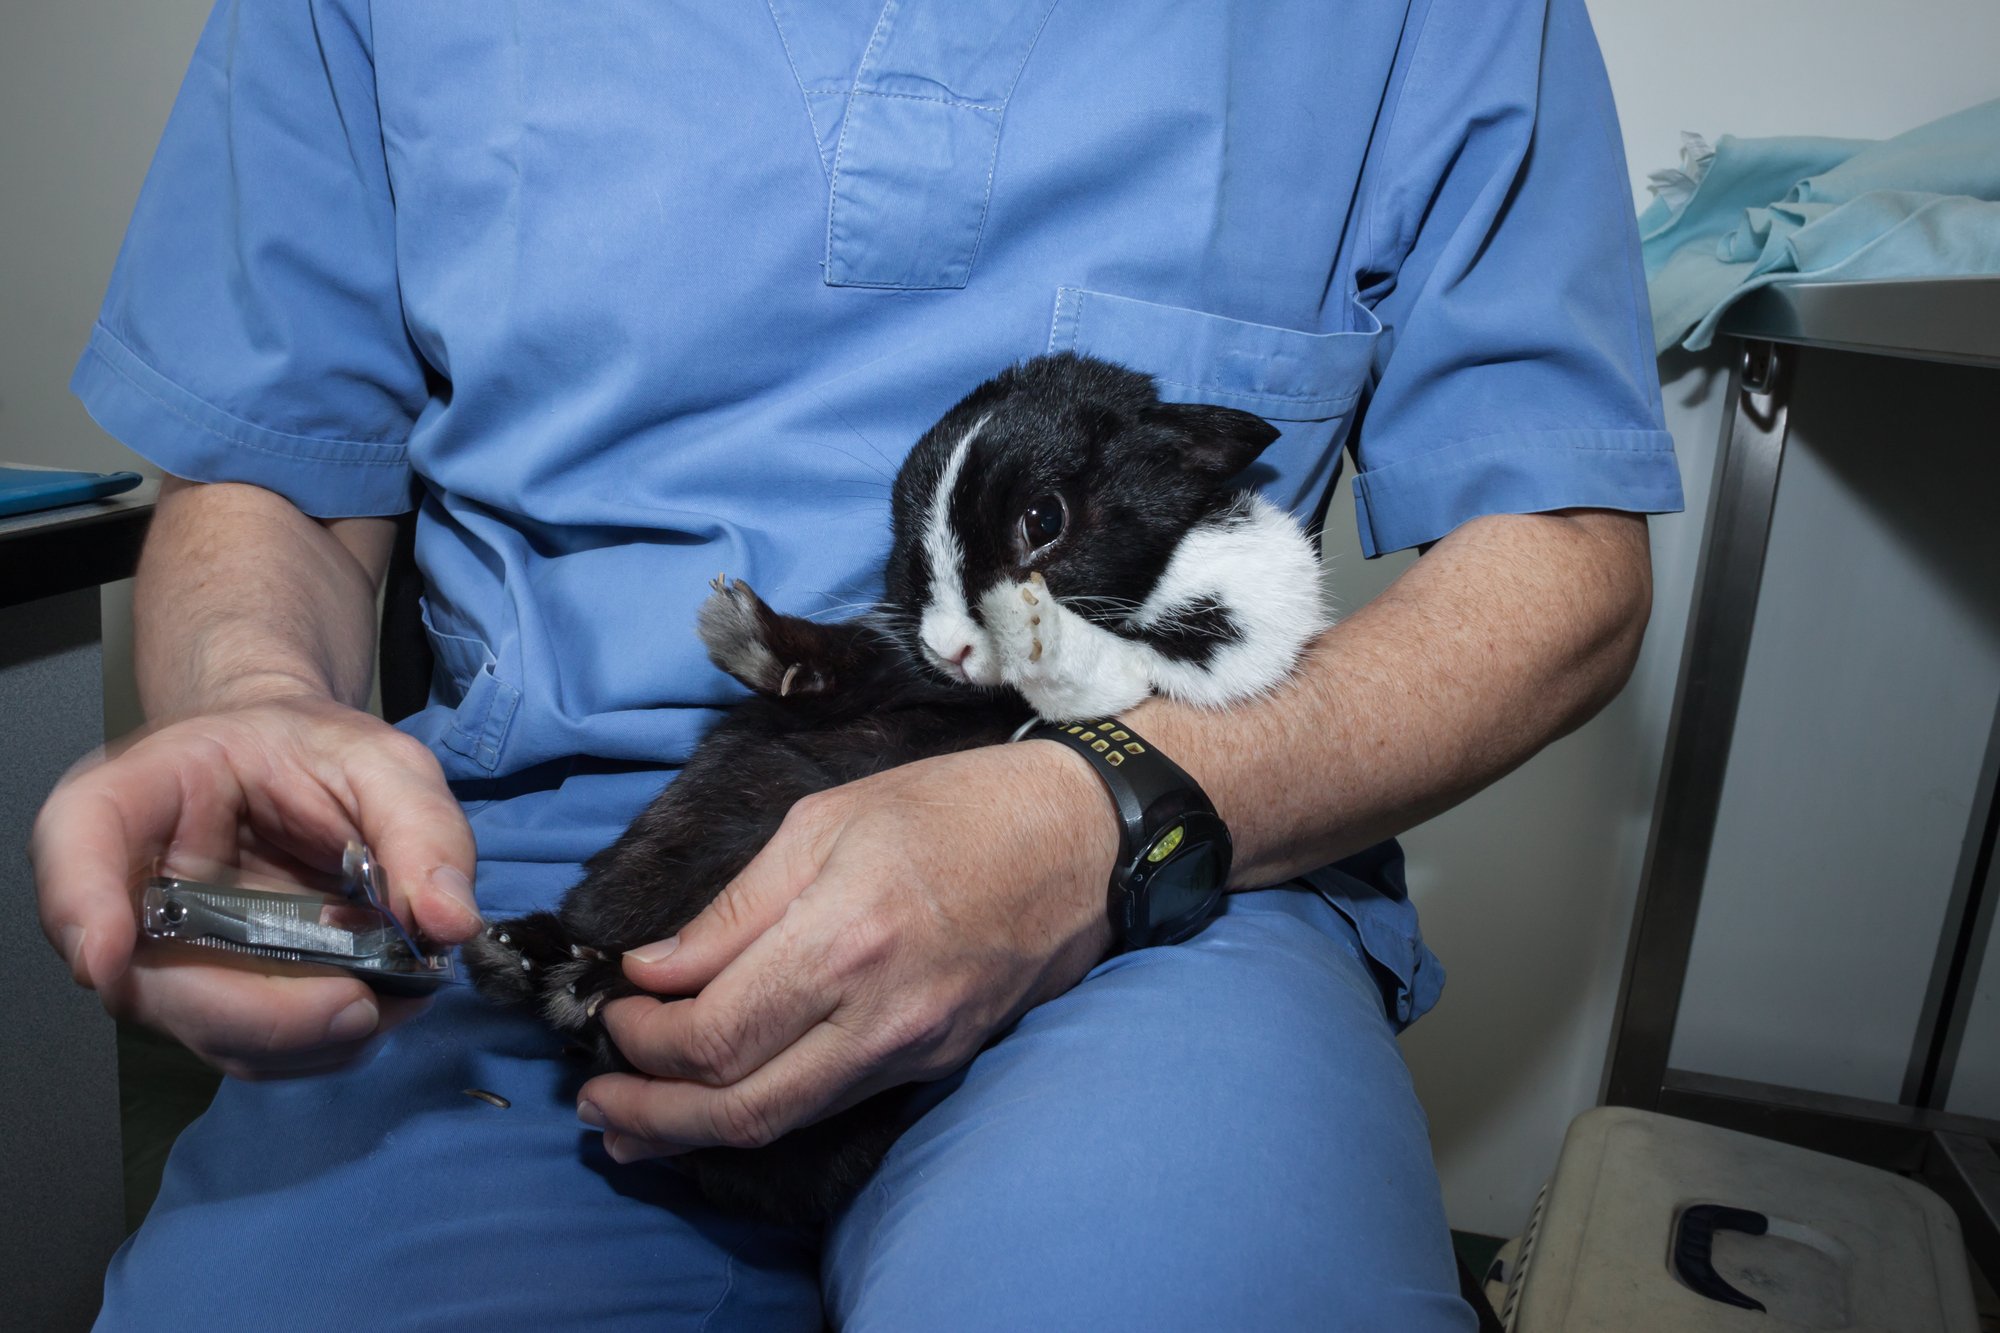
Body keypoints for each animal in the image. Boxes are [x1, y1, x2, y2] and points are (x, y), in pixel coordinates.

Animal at [464, 350, 1328, 1216]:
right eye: (910, 543)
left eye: (1044, 519)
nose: (951, 648)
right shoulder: (905, 678)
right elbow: (858, 667)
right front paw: (747, 633)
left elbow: (1083, 662)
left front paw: (1027, 623)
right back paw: (526, 956)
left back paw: (572, 976)